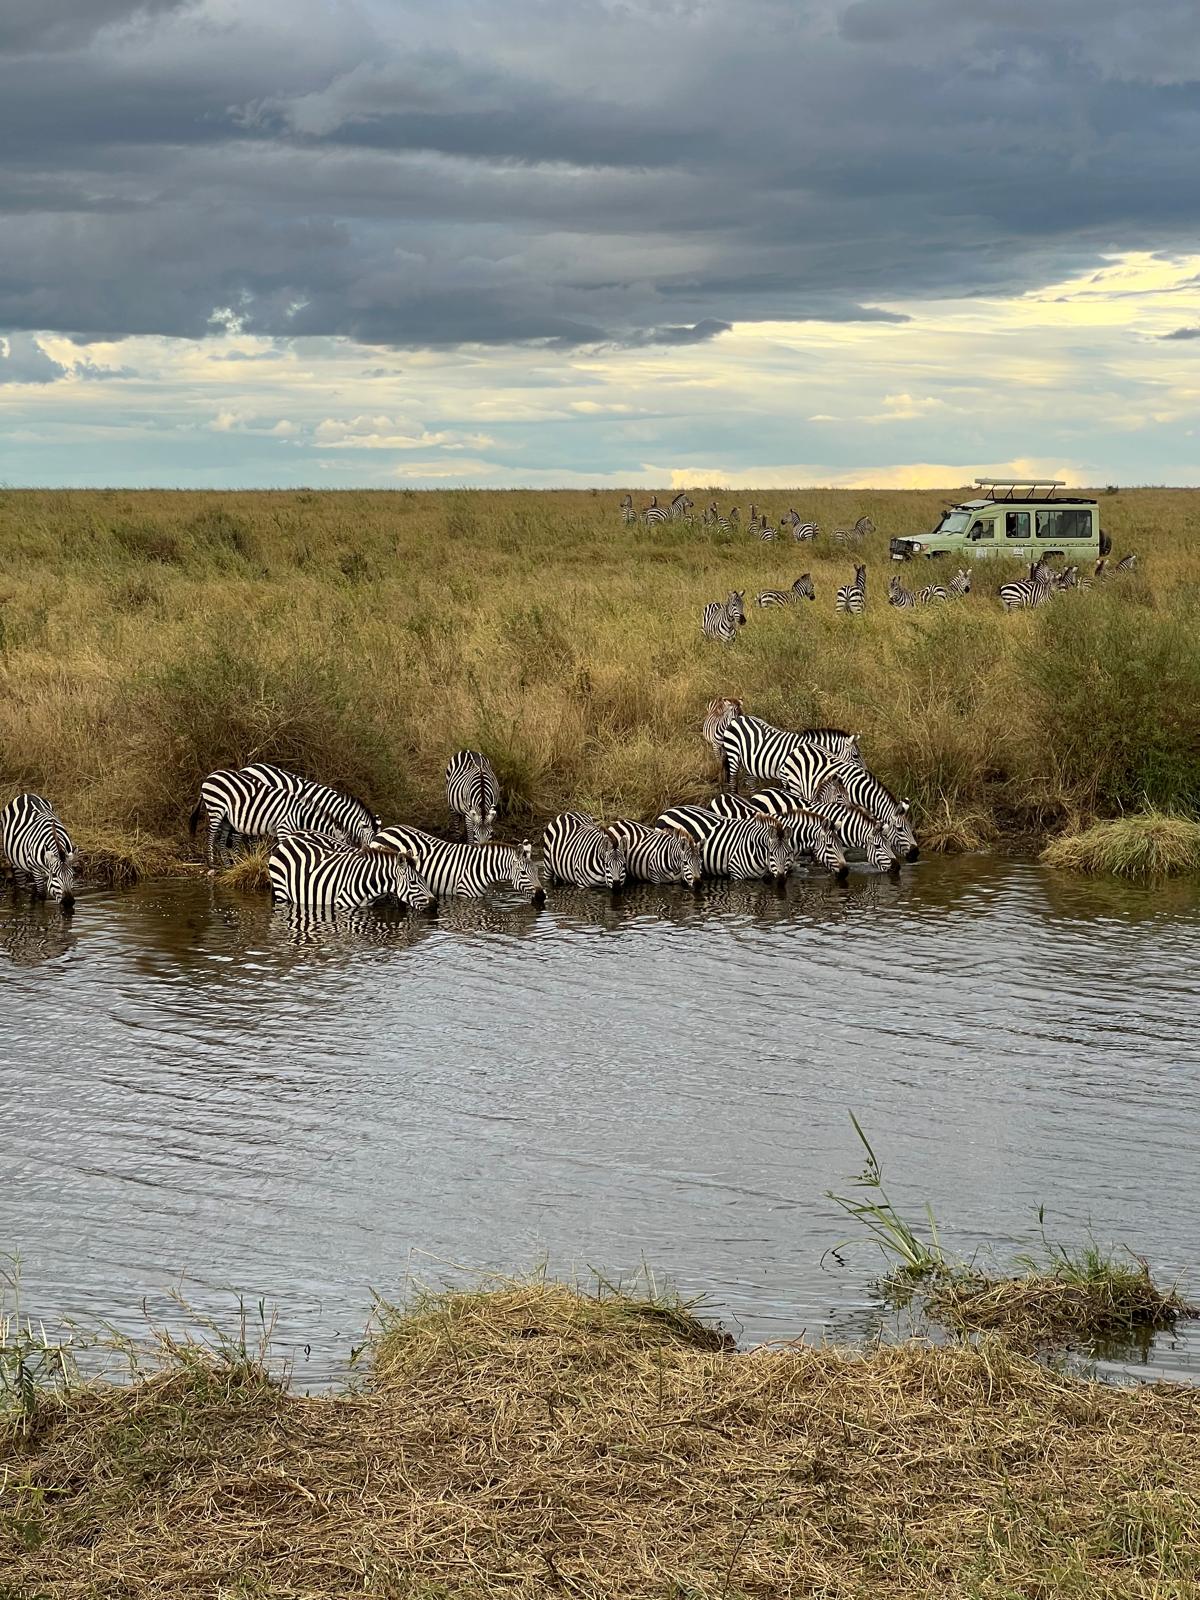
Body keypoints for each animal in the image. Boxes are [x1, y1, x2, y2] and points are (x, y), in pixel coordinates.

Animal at [189, 767, 369, 869]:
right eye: (342, 844)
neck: (300, 814)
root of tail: (210, 776)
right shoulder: (284, 828)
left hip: (227, 817)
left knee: (221, 840)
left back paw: (228, 866)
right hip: (216, 808)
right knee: (211, 835)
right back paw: (211, 863)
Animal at [268, 834, 435, 911]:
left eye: (424, 879)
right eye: (413, 882)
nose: (434, 903)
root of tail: (287, 840)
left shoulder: (366, 907)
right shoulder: (343, 906)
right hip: (281, 891)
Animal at [372, 826, 543, 902]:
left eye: (536, 871)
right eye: (523, 873)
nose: (542, 896)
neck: (482, 868)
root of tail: (385, 830)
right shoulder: (466, 896)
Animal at [720, 713, 861, 791]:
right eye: (855, 756)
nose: (864, 772)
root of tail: (737, 718)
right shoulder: (785, 774)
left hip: (752, 761)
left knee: (750, 781)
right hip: (733, 754)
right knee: (732, 781)